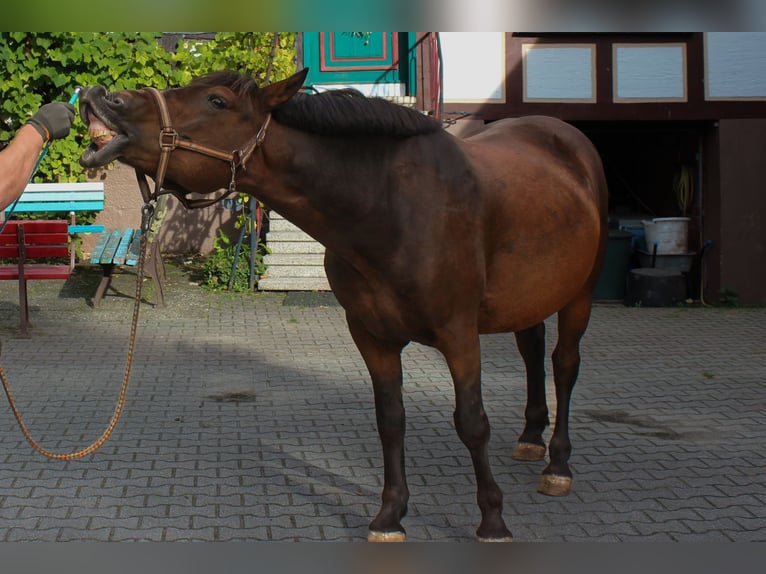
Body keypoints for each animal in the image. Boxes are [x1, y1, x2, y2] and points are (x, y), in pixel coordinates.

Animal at [76, 68, 608, 544]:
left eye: (217, 102)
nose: (103, 97)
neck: (389, 206)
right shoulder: (370, 335)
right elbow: (390, 420)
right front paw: (390, 516)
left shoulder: (459, 334)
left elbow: (472, 423)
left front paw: (493, 521)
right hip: (531, 298)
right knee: (533, 352)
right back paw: (530, 440)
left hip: (579, 294)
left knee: (564, 365)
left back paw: (558, 464)